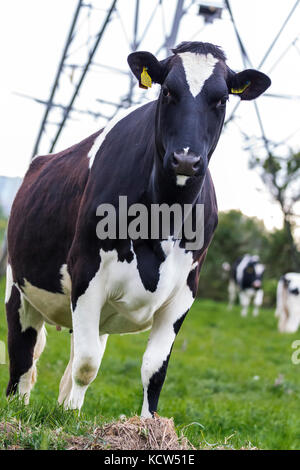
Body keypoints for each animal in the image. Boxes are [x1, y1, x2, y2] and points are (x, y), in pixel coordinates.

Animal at [4, 40, 270, 414]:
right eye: (168, 90)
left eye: (221, 99)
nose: (186, 160)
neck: (162, 217)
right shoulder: (86, 273)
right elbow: (87, 364)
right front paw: (70, 417)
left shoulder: (185, 291)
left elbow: (154, 370)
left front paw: (146, 422)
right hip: (18, 284)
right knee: (23, 352)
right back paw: (20, 406)